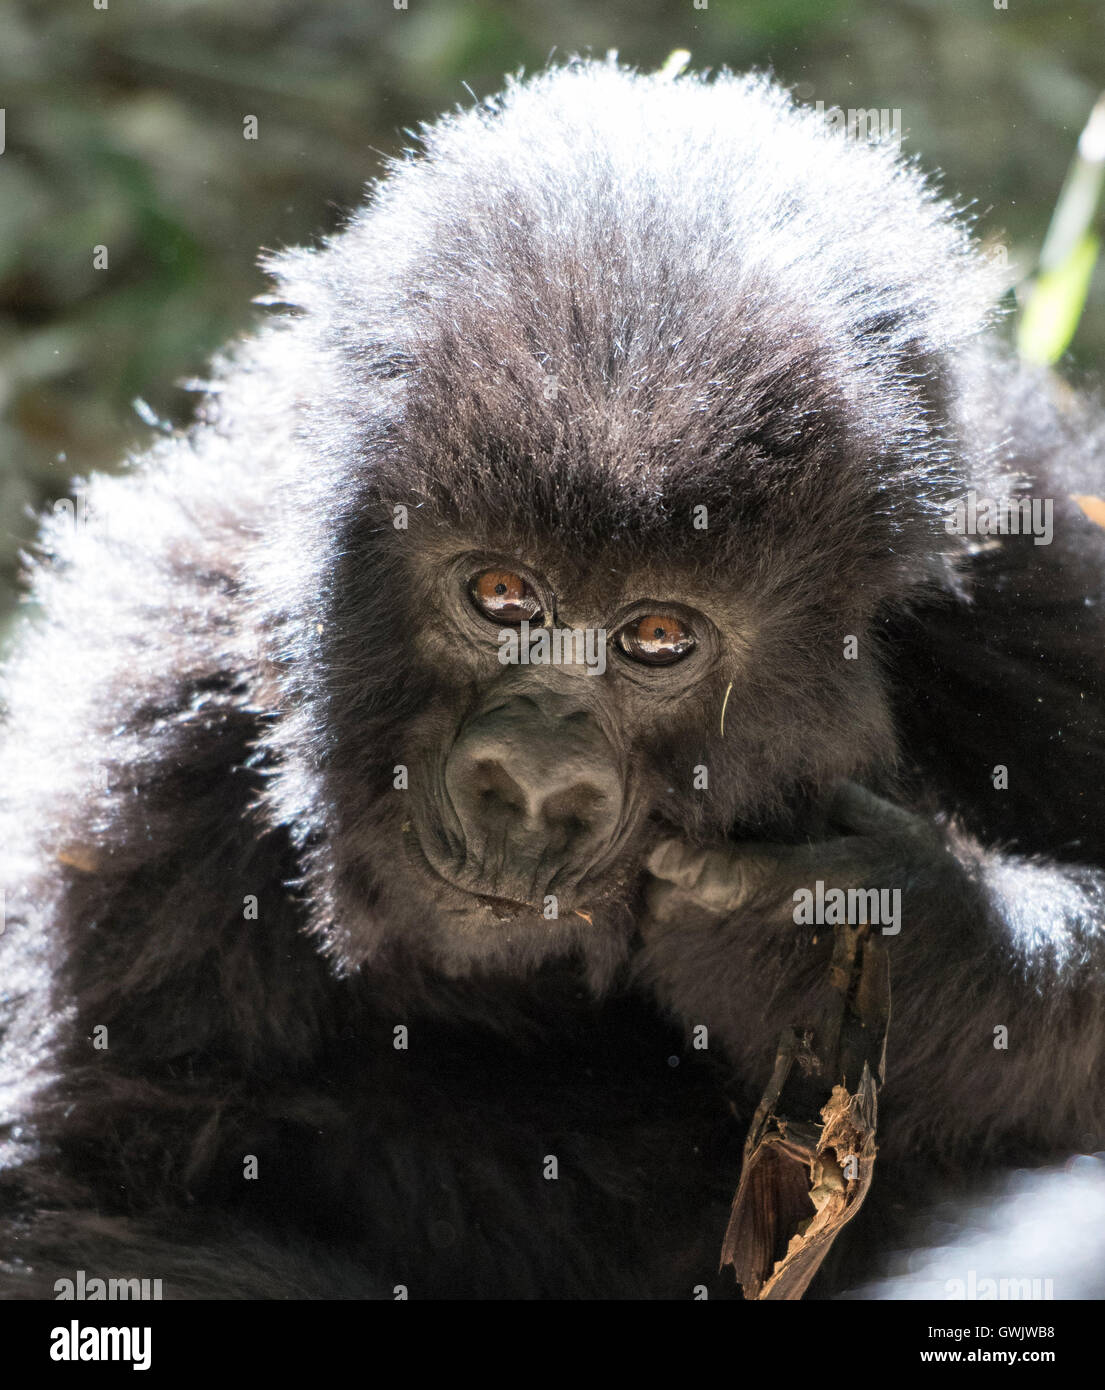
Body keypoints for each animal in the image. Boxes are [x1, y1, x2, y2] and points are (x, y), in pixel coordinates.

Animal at [2, 62, 1105, 1301]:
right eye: (498, 595)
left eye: (659, 637)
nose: (530, 786)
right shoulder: (151, 722)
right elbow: (81, 1204)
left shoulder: (1037, 571)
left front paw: (868, 939)